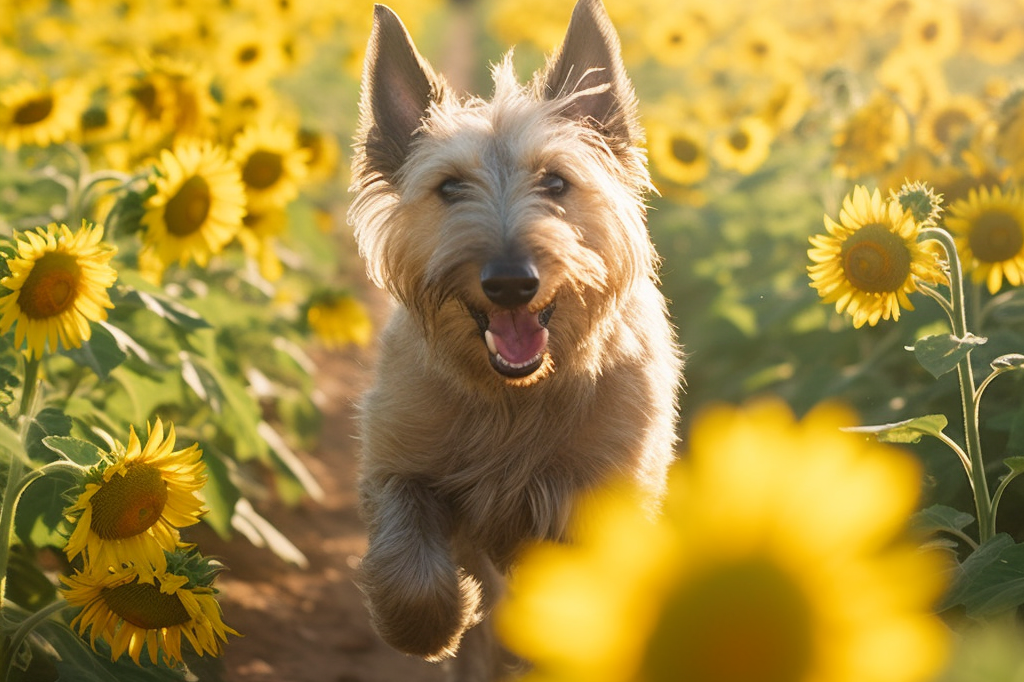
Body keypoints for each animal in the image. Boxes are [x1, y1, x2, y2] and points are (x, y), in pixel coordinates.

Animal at [348, 1, 684, 675]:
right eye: (450, 187)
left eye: (555, 182)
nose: (509, 282)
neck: (515, 399)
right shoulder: (399, 463)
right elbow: (410, 569)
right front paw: (430, 627)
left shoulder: (595, 504)